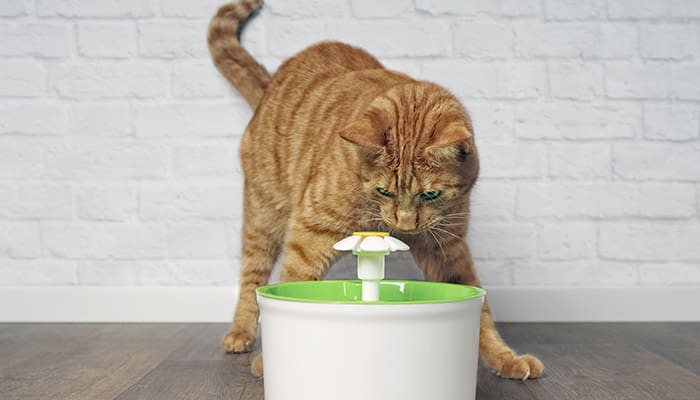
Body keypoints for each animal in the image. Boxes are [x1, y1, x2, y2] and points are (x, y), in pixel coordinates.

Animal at [205, 0, 544, 380]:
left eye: (430, 195)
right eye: (384, 191)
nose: (406, 223)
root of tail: (270, 87)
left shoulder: (447, 247)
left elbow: (482, 314)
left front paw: (505, 358)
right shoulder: (308, 235)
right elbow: (292, 284)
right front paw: (272, 362)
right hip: (263, 216)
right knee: (251, 277)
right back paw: (240, 333)